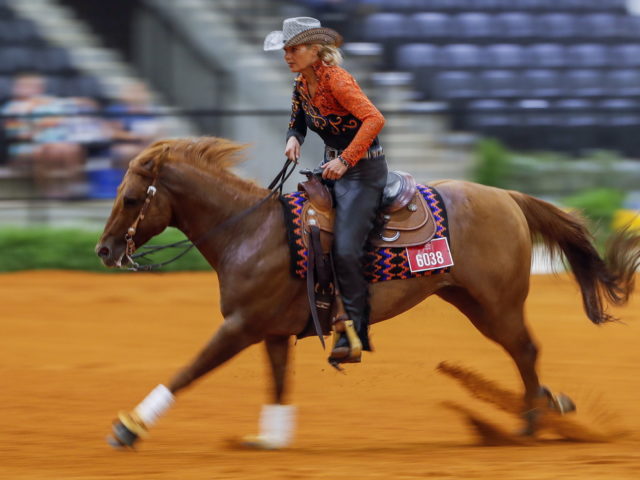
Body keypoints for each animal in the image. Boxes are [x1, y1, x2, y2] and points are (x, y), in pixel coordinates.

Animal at [96, 136, 640, 450]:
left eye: (131, 198)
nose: (104, 250)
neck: (252, 231)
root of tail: (506, 196)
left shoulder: (240, 326)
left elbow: (189, 370)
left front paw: (128, 426)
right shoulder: (270, 332)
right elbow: (278, 383)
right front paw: (270, 437)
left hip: (498, 304)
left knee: (526, 349)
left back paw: (530, 422)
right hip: (471, 301)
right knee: (524, 353)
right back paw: (548, 406)